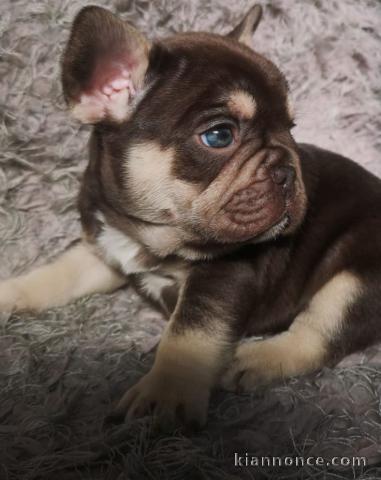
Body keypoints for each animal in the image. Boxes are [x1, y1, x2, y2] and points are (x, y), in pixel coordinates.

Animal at [0, 4, 380, 428]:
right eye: (219, 136)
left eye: (291, 128)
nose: (287, 171)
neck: (147, 232)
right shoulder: (104, 247)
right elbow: (58, 274)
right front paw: (9, 293)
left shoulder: (224, 276)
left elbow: (189, 334)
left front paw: (166, 393)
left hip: (356, 280)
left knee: (318, 333)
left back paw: (255, 358)